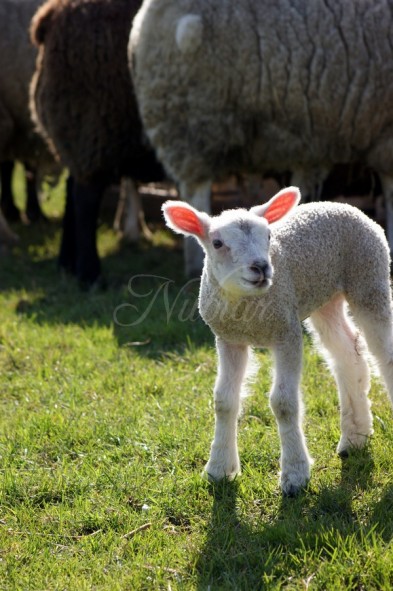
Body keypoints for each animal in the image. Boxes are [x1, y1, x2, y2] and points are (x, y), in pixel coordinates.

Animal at [161, 188, 392, 494]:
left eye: (269, 236)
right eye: (218, 243)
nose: (260, 267)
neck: (248, 312)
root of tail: (341, 205)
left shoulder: (286, 331)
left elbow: (283, 403)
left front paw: (295, 474)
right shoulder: (229, 338)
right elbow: (223, 400)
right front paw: (219, 469)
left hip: (369, 276)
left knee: (383, 354)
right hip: (324, 298)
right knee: (348, 353)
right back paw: (355, 436)